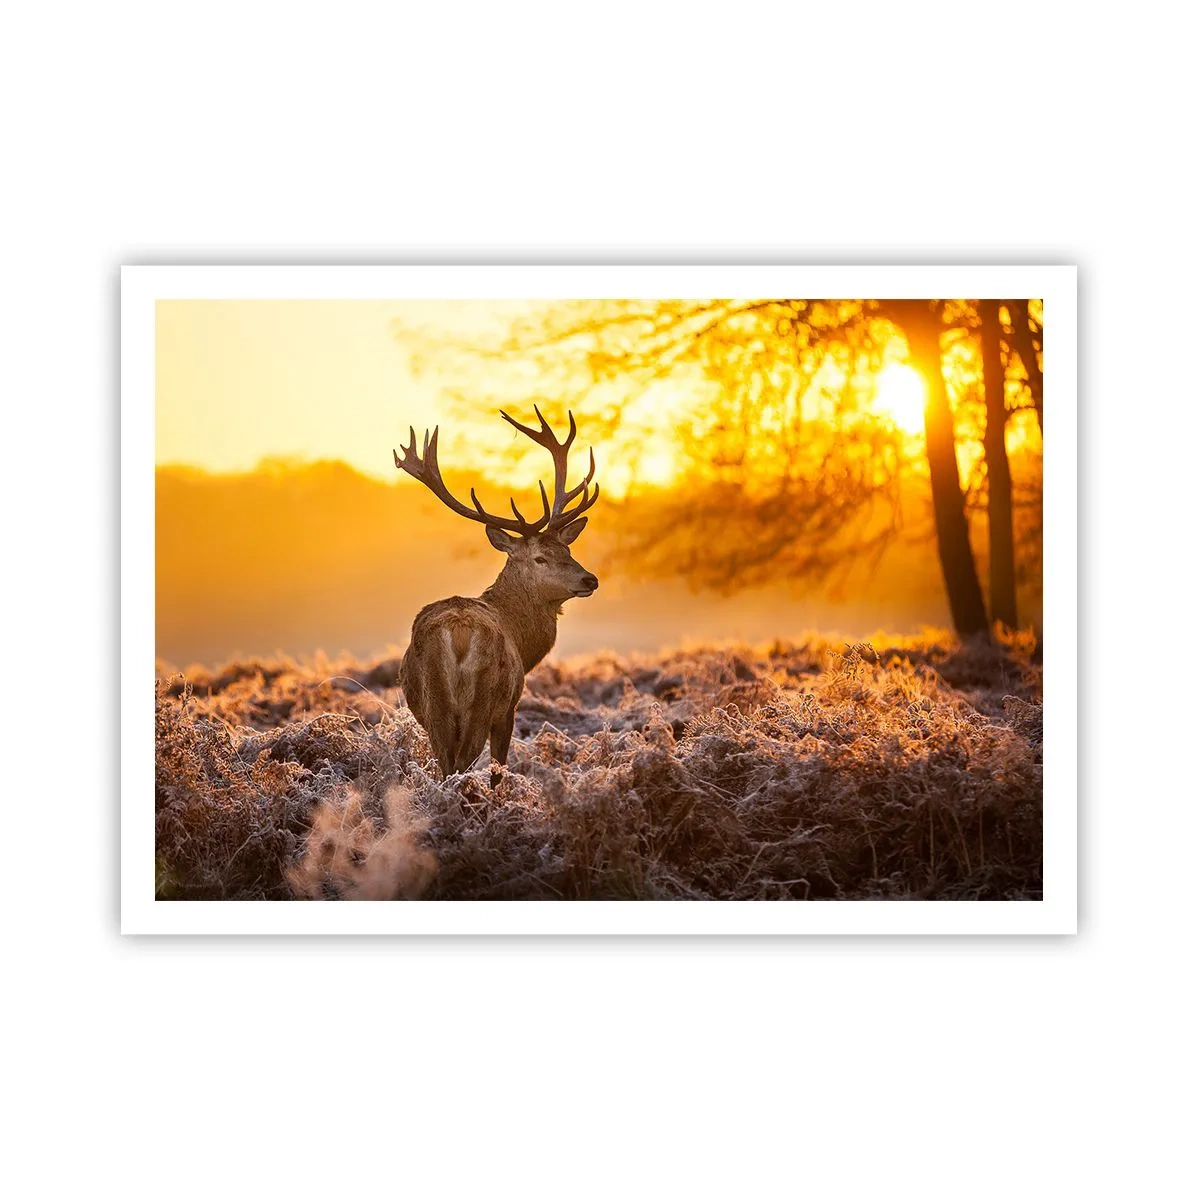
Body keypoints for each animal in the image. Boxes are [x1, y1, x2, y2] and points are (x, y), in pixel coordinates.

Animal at [393, 407, 600, 780]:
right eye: (540, 557)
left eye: (567, 550)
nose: (589, 579)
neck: (523, 640)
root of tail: (458, 632)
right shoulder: (509, 707)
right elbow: (499, 766)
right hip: (484, 698)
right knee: (463, 763)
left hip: (434, 706)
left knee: (445, 765)